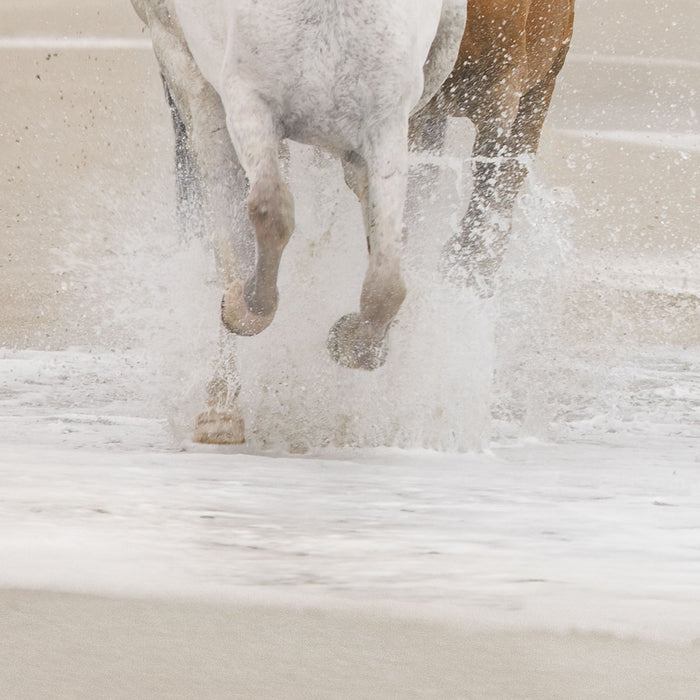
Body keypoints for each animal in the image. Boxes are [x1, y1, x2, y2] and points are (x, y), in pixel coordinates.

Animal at [131, 0, 467, 443]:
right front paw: (242, 308)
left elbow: (386, 283)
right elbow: (269, 213)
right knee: (229, 232)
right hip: (190, 76)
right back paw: (220, 411)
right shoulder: (248, 103)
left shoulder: (386, 125)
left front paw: (351, 341)